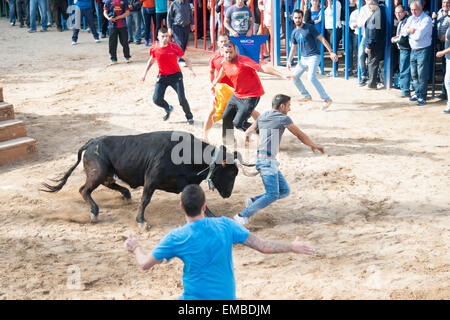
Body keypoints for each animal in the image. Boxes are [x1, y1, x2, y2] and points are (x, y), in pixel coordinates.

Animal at [41, 131, 256, 230]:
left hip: (105, 174)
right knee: (84, 190)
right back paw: (94, 212)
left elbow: (203, 204)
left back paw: (126, 195)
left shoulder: (187, 182)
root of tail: (92, 142)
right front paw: (141, 221)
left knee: (108, 185)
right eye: (231, 173)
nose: (228, 194)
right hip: (98, 172)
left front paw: (213, 217)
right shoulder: (152, 178)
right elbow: (146, 199)